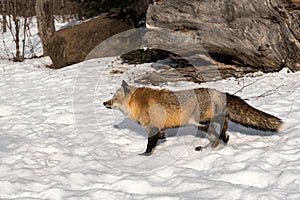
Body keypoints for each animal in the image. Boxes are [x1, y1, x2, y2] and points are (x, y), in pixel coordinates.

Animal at [103, 80, 284, 155]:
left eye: (114, 98)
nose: (104, 103)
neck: (137, 103)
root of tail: (219, 92)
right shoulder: (157, 127)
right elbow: (161, 135)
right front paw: (163, 137)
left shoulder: (152, 127)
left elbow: (150, 145)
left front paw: (144, 156)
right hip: (201, 124)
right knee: (219, 129)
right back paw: (219, 140)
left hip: (198, 121)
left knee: (222, 122)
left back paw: (218, 140)